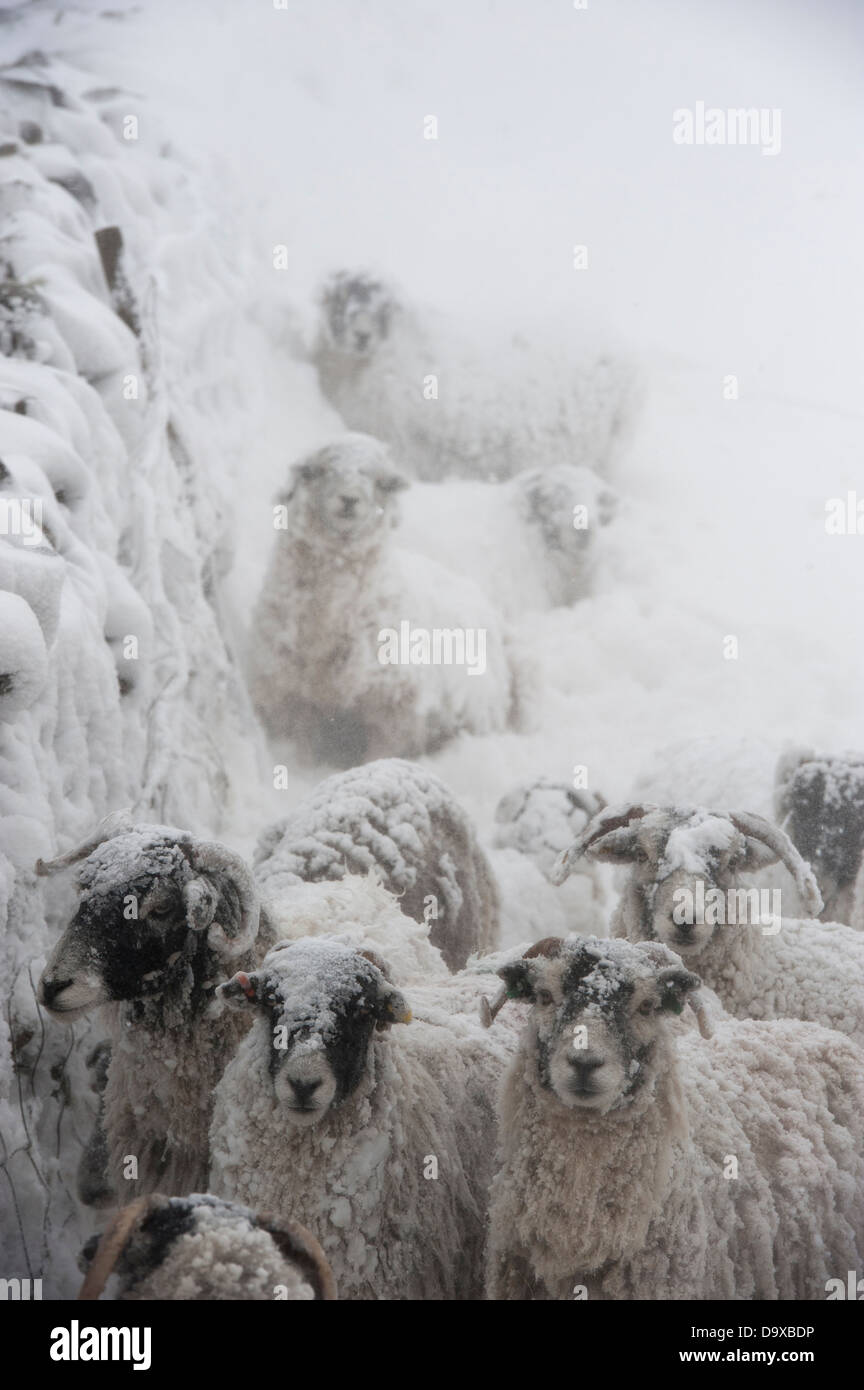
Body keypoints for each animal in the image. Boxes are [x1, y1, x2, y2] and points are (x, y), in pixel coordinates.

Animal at [247, 432, 523, 766]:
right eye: (316, 471)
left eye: (382, 482)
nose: (349, 499)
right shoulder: (287, 695)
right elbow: (299, 747)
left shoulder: (395, 707)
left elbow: (382, 754)